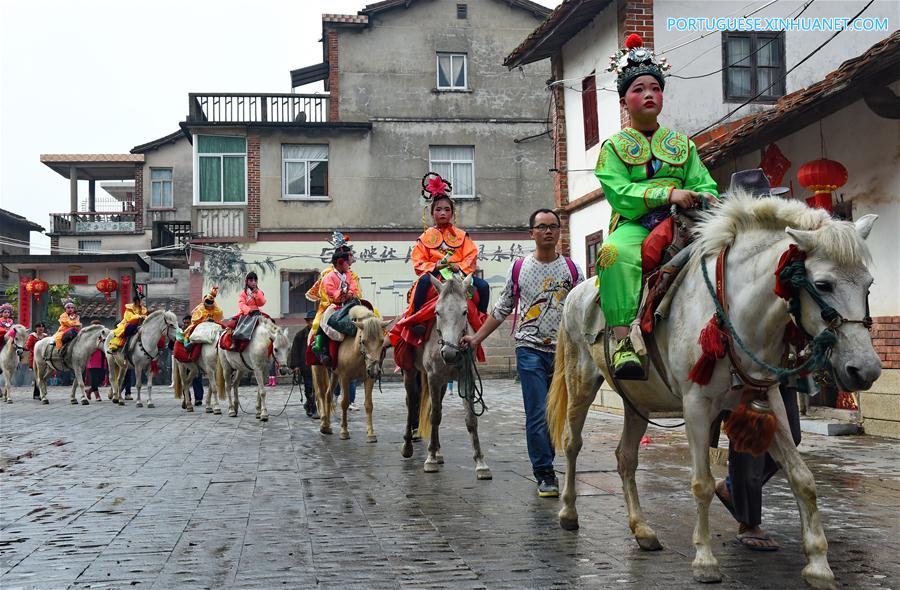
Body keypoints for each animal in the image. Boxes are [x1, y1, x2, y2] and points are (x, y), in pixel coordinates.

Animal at [312, 308, 388, 442]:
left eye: (382, 341)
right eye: (363, 341)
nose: (374, 370)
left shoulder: (368, 378)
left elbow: (369, 404)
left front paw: (371, 433)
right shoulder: (345, 378)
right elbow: (344, 403)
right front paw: (344, 431)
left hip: (334, 374)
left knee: (328, 395)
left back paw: (327, 426)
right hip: (319, 369)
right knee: (321, 394)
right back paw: (323, 424)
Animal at [402, 276, 492, 480]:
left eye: (465, 312)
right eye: (437, 311)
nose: (450, 353)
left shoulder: (466, 376)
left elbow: (470, 419)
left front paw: (480, 463)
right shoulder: (433, 377)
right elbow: (434, 416)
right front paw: (430, 460)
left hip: (443, 383)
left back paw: (438, 450)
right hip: (410, 372)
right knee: (412, 403)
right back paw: (408, 446)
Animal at [544, 192, 884, 588]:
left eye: (868, 284)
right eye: (824, 284)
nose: (864, 369)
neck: (736, 310)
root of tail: (578, 291)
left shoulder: (768, 398)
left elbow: (802, 478)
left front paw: (818, 565)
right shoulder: (696, 404)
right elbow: (702, 483)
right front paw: (705, 560)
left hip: (637, 400)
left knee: (625, 457)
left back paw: (643, 530)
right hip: (581, 380)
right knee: (572, 443)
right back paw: (568, 512)